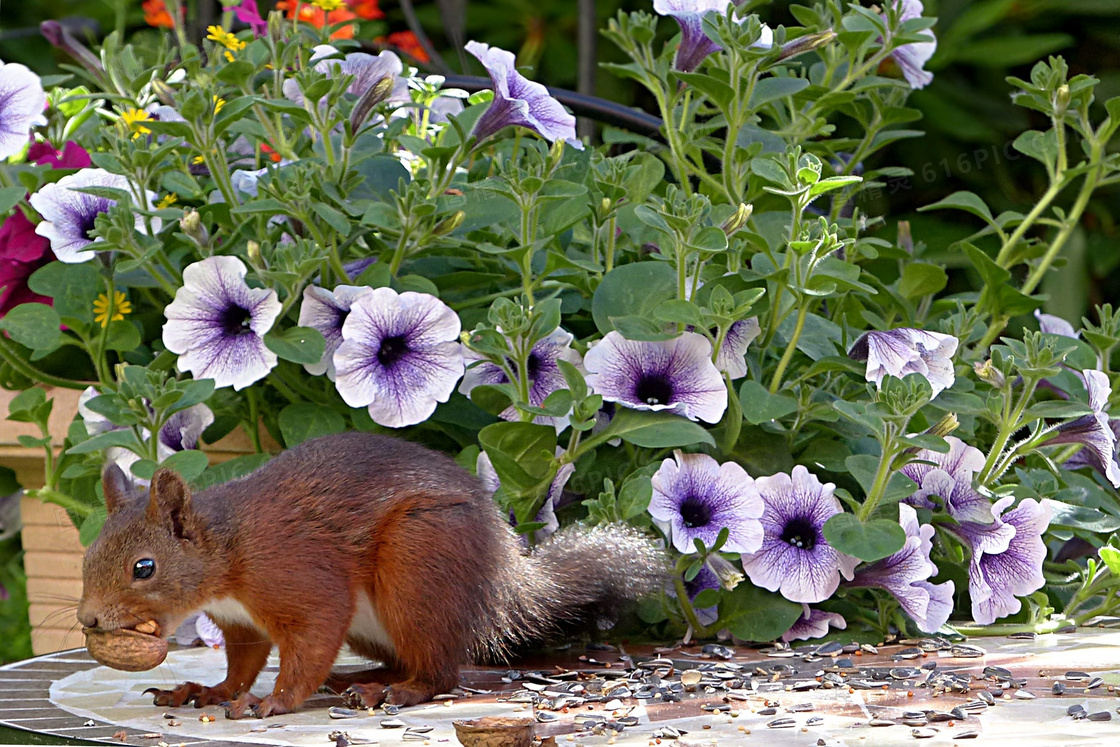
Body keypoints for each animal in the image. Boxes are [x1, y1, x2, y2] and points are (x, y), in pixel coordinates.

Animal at [76, 432, 663, 716]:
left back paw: (395, 693)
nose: (88, 621)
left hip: (417, 567)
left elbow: (311, 637)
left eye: (144, 568)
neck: (227, 553)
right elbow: (242, 663)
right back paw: (362, 679)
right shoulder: (240, 622)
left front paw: (274, 700)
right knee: (412, 659)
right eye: (86, 557)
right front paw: (208, 691)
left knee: (440, 673)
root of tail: (501, 576)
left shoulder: (297, 578)